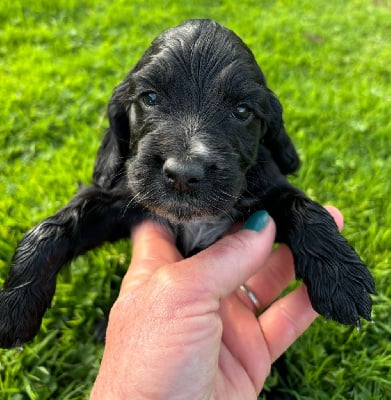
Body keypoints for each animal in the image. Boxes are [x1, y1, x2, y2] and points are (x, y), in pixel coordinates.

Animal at [0, 18, 376, 346]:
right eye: (150, 98)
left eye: (242, 111)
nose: (183, 172)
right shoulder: (121, 196)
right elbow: (56, 225)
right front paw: (14, 306)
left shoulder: (267, 187)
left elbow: (304, 207)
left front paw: (341, 277)